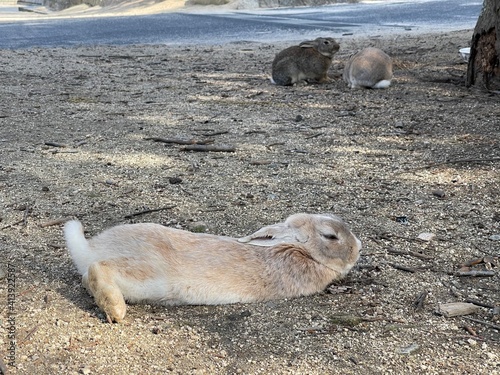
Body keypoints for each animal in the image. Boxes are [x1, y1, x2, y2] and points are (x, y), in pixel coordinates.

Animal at [64, 214, 362, 324]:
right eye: (331, 236)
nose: (358, 248)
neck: (300, 250)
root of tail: (90, 249)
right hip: (146, 276)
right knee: (97, 270)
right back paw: (116, 310)